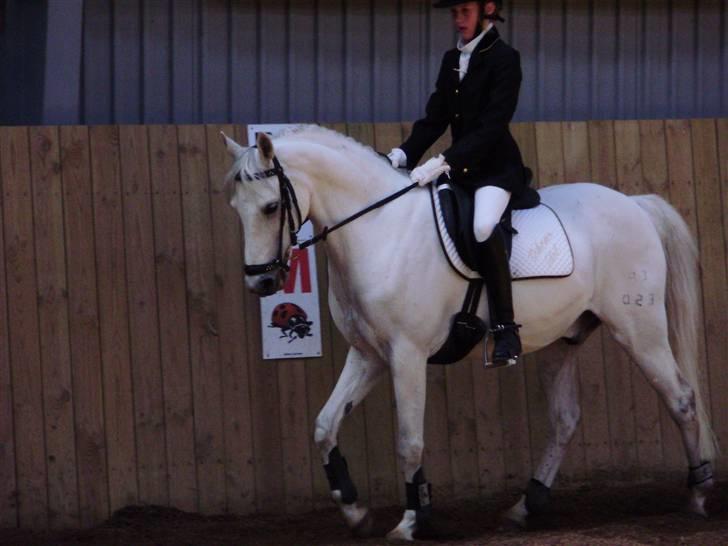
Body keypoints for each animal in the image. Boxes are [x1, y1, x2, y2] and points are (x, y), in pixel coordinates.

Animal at [221, 125, 717, 541]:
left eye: (270, 207)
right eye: (236, 209)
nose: (261, 282)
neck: (381, 231)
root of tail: (635, 204)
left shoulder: (406, 355)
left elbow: (409, 440)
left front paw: (412, 519)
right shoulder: (369, 355)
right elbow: (325, 425)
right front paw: (354, 511)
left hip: (639, 329)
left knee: (681, 399)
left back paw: (698, 493)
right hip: (563, 338)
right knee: (565, 419)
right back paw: (525, 506)